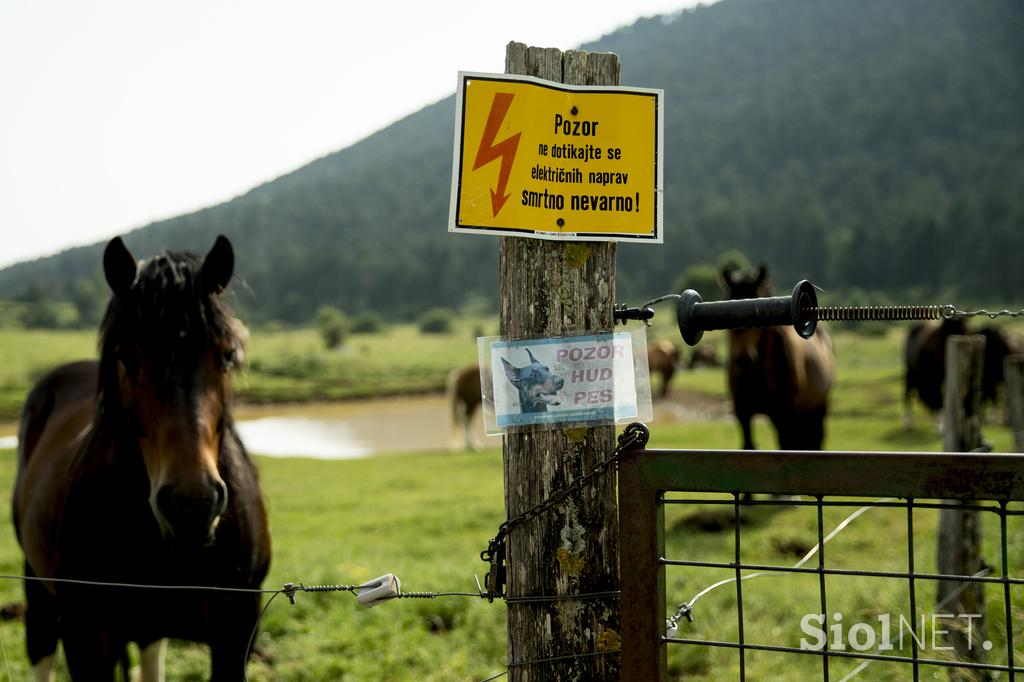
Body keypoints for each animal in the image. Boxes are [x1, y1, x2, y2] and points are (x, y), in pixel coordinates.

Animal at [14, 236, 270, 675]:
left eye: (227, 355)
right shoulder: (86, 638)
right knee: (41, 649)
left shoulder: (236, 632)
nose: (191, 504)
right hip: (39, 589)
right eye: (127, 356)